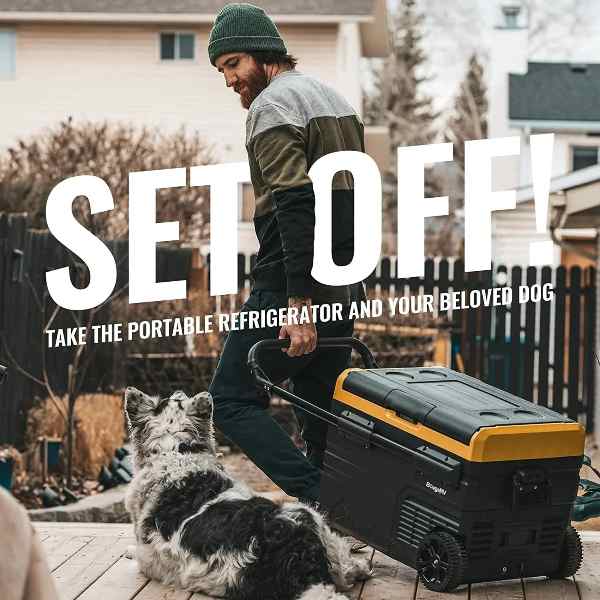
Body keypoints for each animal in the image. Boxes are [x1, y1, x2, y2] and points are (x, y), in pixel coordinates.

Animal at [124, 386, 372, 596]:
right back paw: (361, 567)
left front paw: (128, 550)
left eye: (176, 400)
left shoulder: (149, 559)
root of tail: (298, 551)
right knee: (344, 567)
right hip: (311, 517)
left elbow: (137, 552)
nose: (180, 390)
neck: (176, 452)